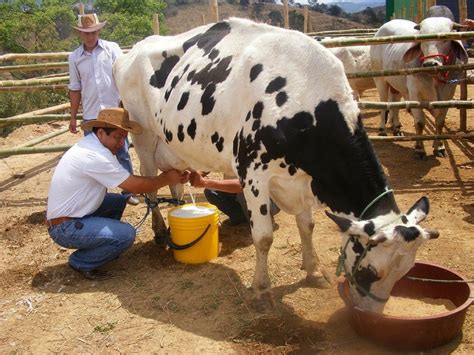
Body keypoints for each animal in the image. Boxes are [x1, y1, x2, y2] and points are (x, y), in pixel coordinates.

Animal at [113, 18, 438, 312]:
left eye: (404, 272)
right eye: (372, 272)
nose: (369, 313)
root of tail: (134, 50)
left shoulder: (303, 178)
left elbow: (307, 225)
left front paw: (313, 271)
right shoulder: (253, 173)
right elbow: (264, 237)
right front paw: (261, 290)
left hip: (173, 144)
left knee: (174, 180)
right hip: (143, 135)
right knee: (149, 182)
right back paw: (159, 231)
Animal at [370, 17, 466, 159]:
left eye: (445, 39)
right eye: (421, 38)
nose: (430, 63)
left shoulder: (448, 95)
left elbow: (440, 122)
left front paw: (439, 147)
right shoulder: (415, 95)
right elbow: (420, 122)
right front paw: (419, 149)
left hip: (397, 85)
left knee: (395, 103)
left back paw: (396, 128)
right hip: (380, 80)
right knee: (383, 104)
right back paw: (382, 130)